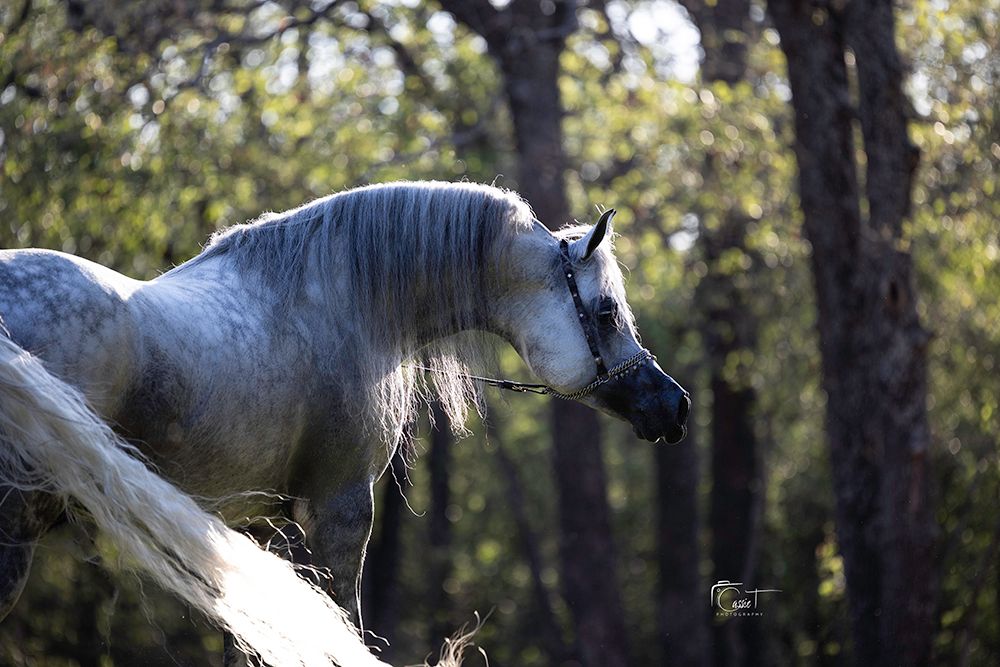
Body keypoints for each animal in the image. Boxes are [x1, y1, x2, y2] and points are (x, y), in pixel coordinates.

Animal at [0, 181, 689, 666]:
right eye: (606, 312)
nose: (674, 406)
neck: (337, 302)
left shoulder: (258, 529)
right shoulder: (340, 511)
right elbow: (341, 626)